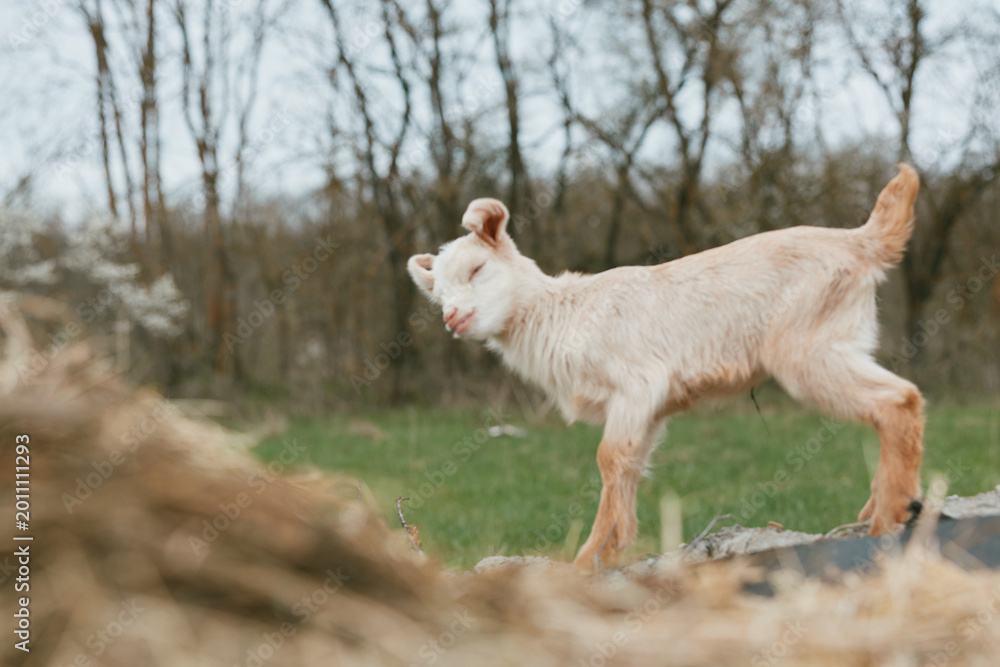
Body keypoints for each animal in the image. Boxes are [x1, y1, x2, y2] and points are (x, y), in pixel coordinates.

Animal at [408, 166, 924, 573]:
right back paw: (878, 508)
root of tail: (862, 241)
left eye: (477, 269)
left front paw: (587, 557)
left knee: (898, 399)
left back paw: (887, 518)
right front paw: (616, 548)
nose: (452, 318)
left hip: (808, 348)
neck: (564, 314)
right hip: (840, 341)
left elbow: (609, 457)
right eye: (437, 293)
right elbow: (631, 463)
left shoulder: (636, 384)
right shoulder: (651, 408)